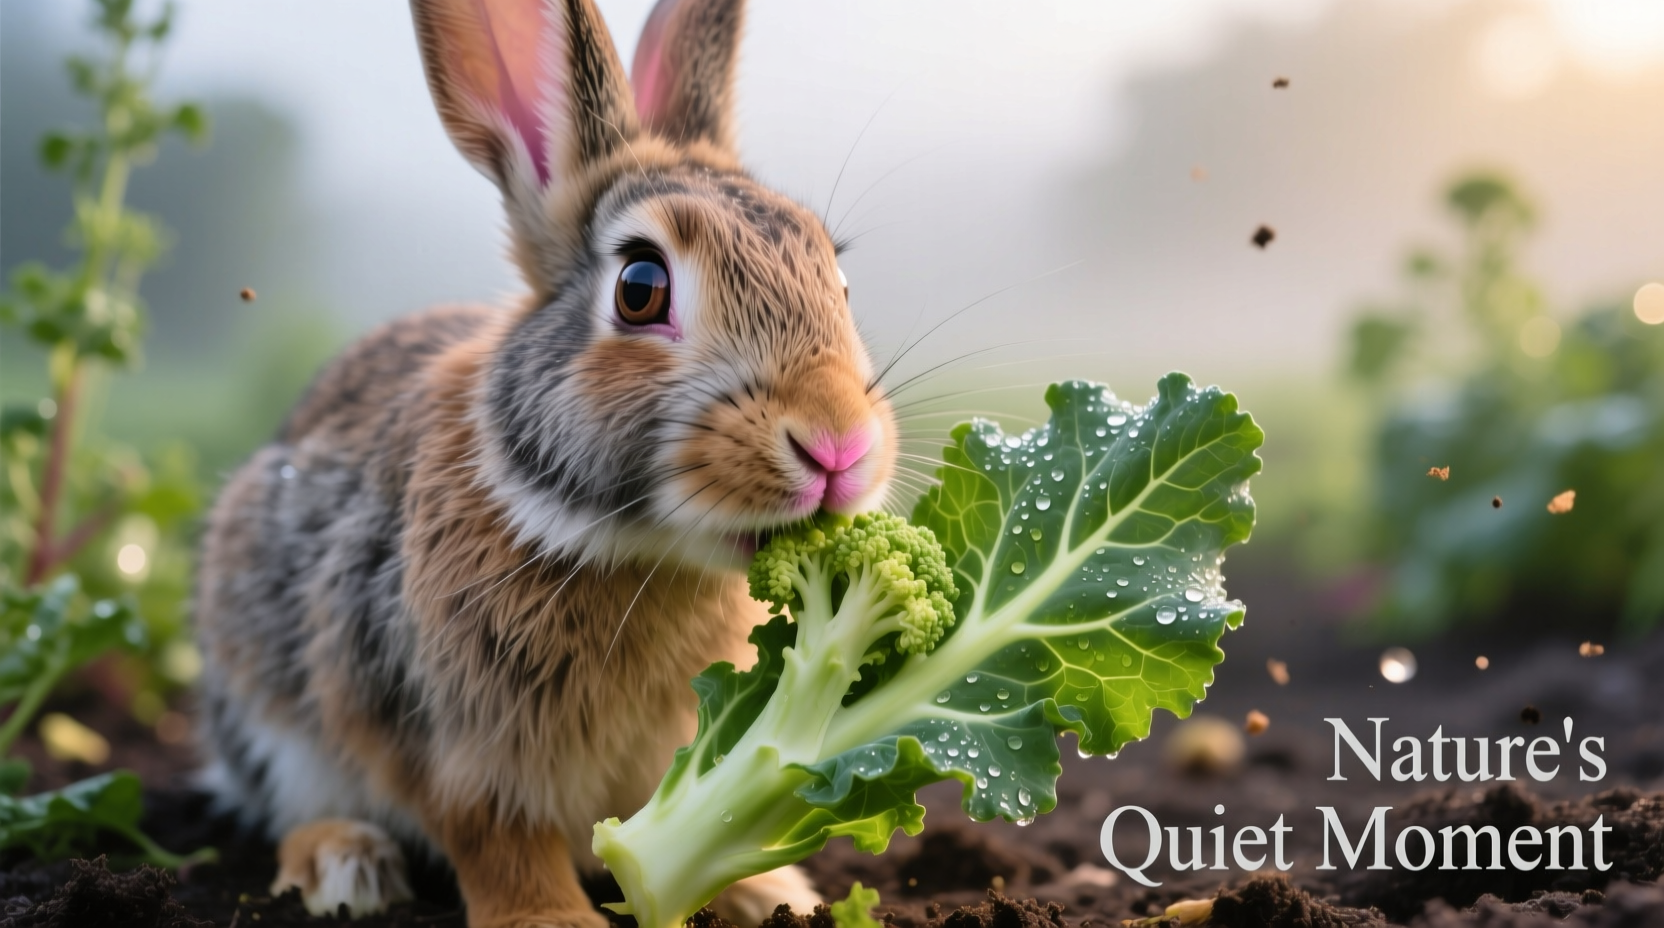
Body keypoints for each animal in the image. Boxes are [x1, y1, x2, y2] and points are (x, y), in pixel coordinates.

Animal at [191, 0, 898, 925]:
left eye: (839, 283)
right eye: (640, 287)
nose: (838, 445)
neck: (633, 550)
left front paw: (774, 893)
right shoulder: (458, 750)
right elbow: (495, 840)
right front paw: (549, 917)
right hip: (262, 692)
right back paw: (344, 863)